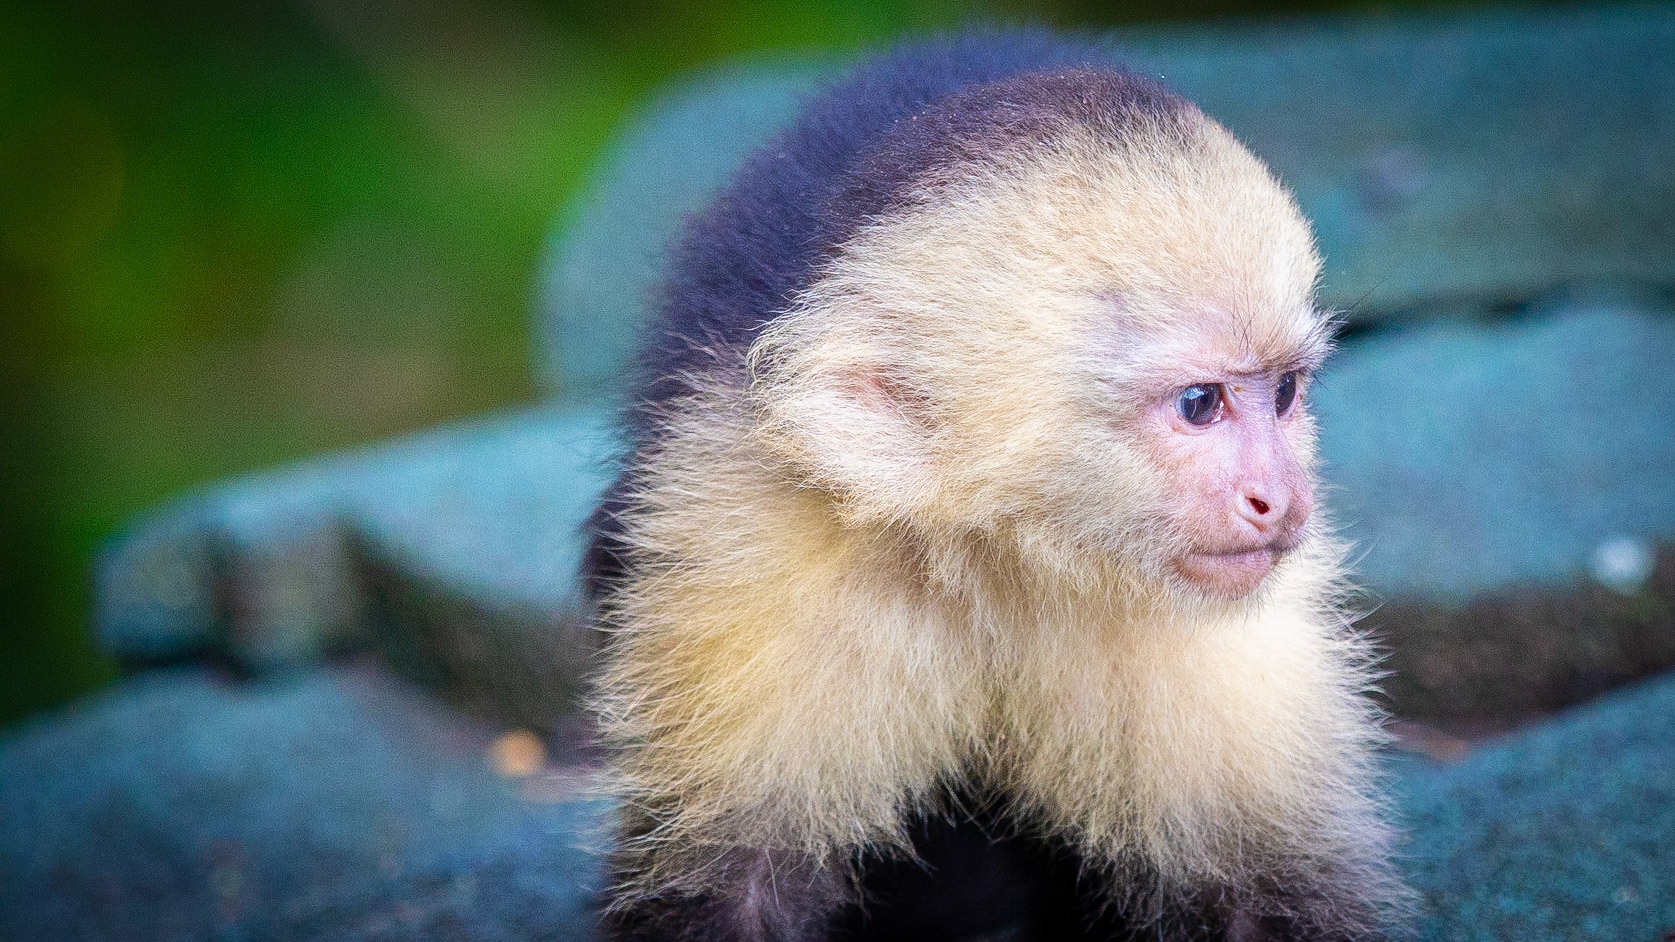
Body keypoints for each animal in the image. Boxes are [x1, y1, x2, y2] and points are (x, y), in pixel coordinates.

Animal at [582, 30, 1410, 942]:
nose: (1281, 497)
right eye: (1200, 405)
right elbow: (731, 882)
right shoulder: (746, 536)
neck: (996, 554)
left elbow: (1262, 890)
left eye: (1286, 392)